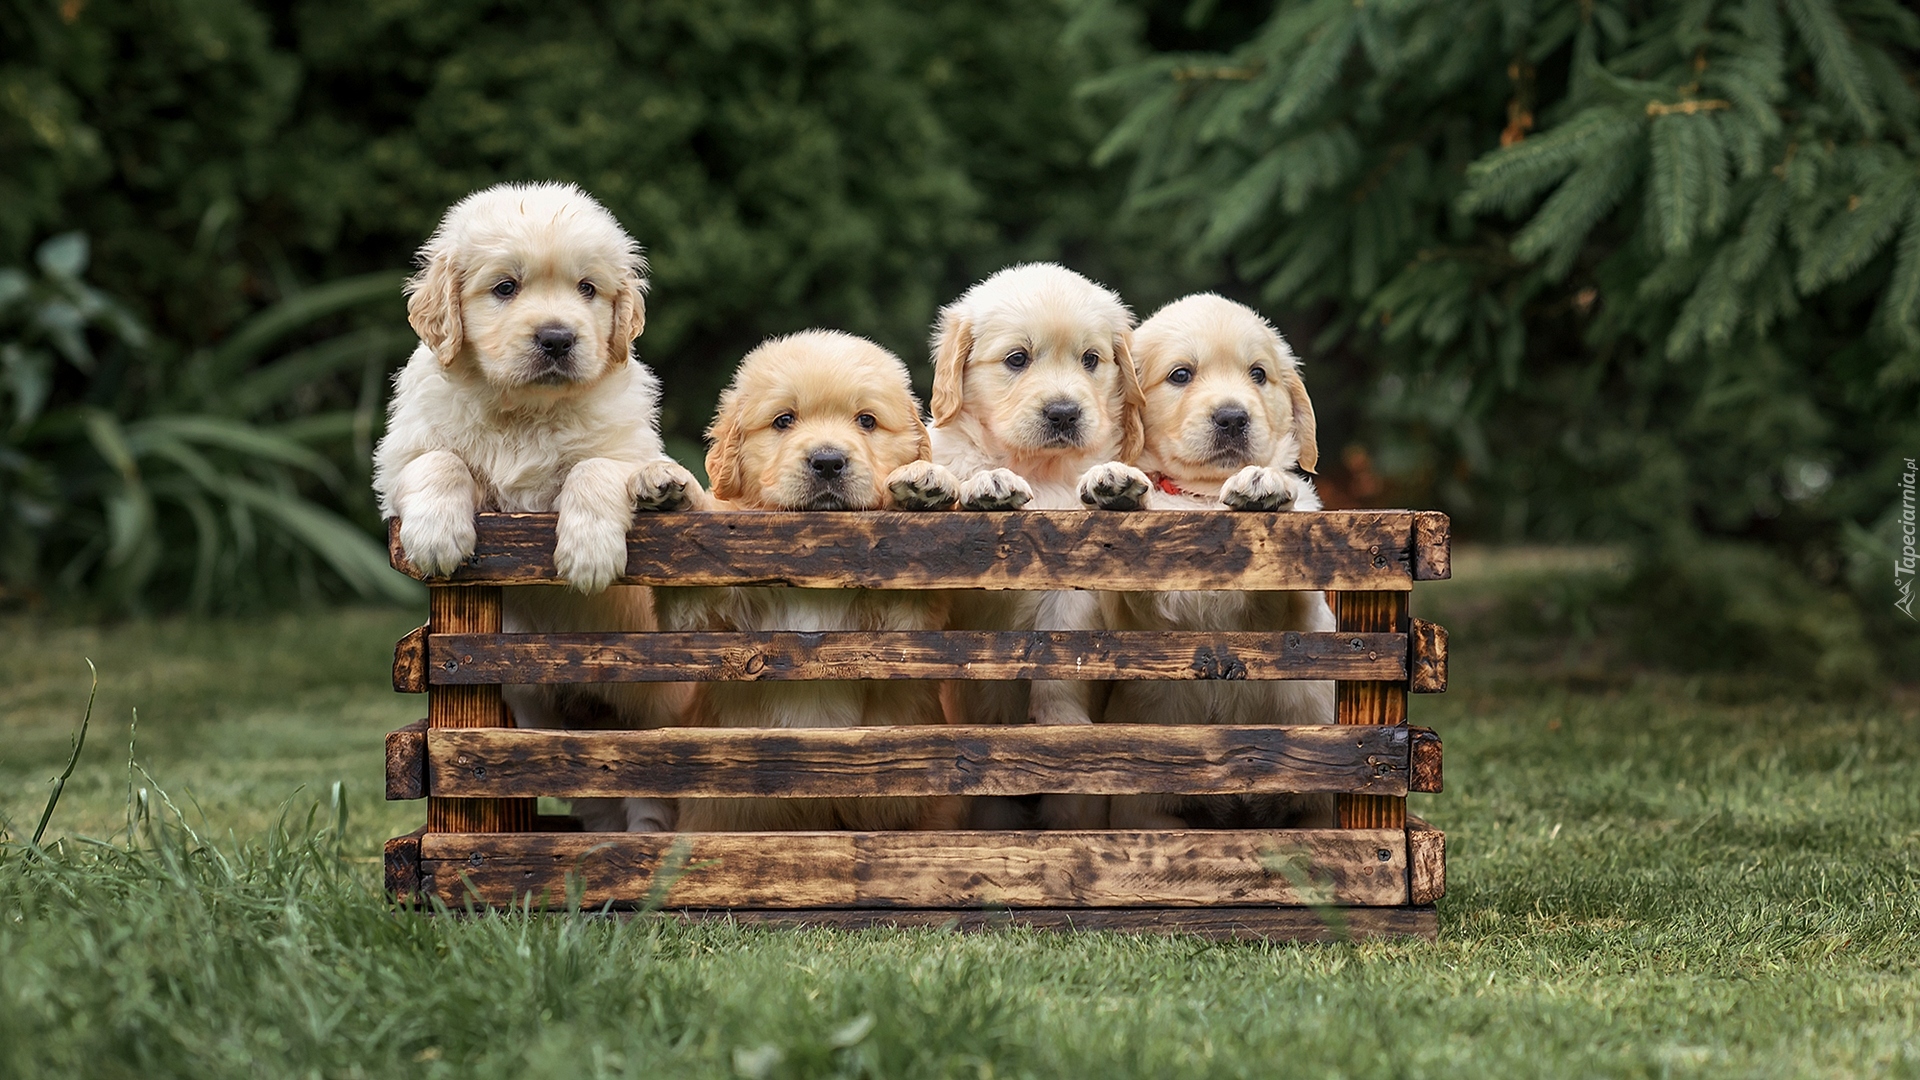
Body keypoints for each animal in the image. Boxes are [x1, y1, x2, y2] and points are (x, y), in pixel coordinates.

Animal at [370, 180, 702, 826]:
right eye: (505, 288)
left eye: (588, 289)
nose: (556, 338)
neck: (525, 411)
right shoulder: (400, 457)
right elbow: (438, 460)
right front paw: (438, 537)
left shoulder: (618, 439)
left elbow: (595, 466)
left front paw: (590, 554)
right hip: (541, 717)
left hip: (659, 716)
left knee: (653, 801)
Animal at [656, 332, 960, 826]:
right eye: (784, 420)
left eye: (866, 421)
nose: (828, 461)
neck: (814, 550)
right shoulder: (707, 629)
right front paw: (669, 487)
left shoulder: (902, 633)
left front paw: (923, 483)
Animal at [925, 263, 1144, 749]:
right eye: (1017, 359)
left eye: (1090, 359)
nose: (1063, 413)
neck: (1038, 469)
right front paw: (990, 481)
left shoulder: (1074, 589)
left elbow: (1060, 660)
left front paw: (1061, 721)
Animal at [1082, 290, 1336, 826]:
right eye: (1181, 375)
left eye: (1258, 374)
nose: (1233, 417)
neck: (1203, 500)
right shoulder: (1128, 614)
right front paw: (1113, 481)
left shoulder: (1303, 611)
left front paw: (1264, 483)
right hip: (1150, 812)